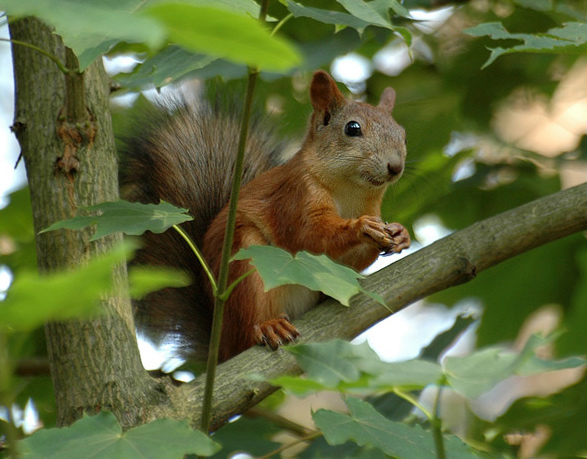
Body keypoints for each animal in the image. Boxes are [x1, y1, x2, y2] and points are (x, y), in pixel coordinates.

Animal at [119, 71, 412, 362]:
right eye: (352, 128)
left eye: (403, 134)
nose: (395, 167)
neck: (351, 191)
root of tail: (221, 347)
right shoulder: (293, 197)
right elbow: (309, 236)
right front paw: (361, 228)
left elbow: (349, 263)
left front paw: (400, 235)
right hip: (246, 262)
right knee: (250, 325)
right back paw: (268, 326)